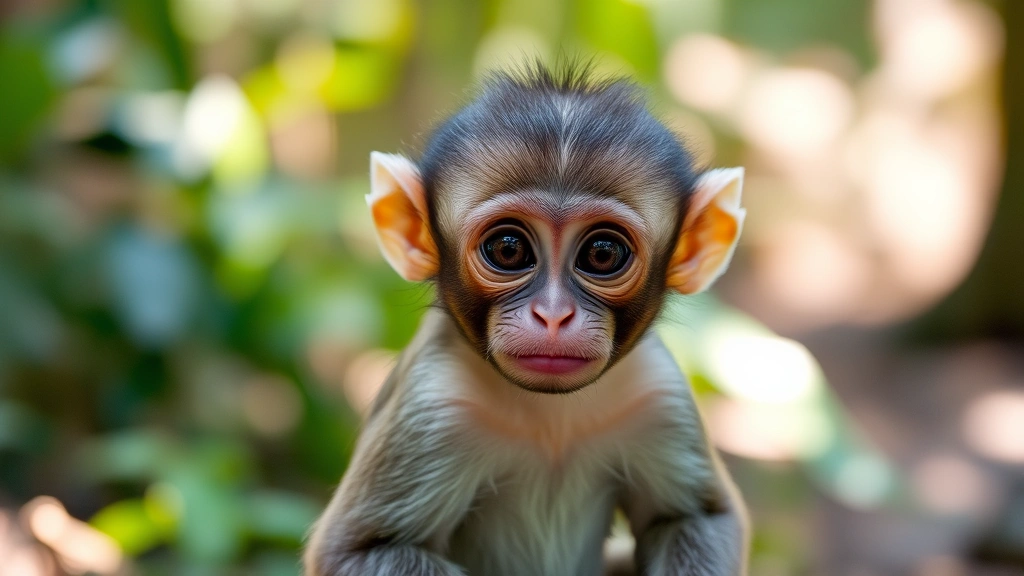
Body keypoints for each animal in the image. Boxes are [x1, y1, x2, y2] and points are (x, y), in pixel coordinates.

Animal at [304, 63, 749, 576]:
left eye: (602, 253)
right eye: (508, 248)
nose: (553, 316)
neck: (548, 413)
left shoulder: (658, 394)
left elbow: (694, 517)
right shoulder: (433, 406)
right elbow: (360, 548)